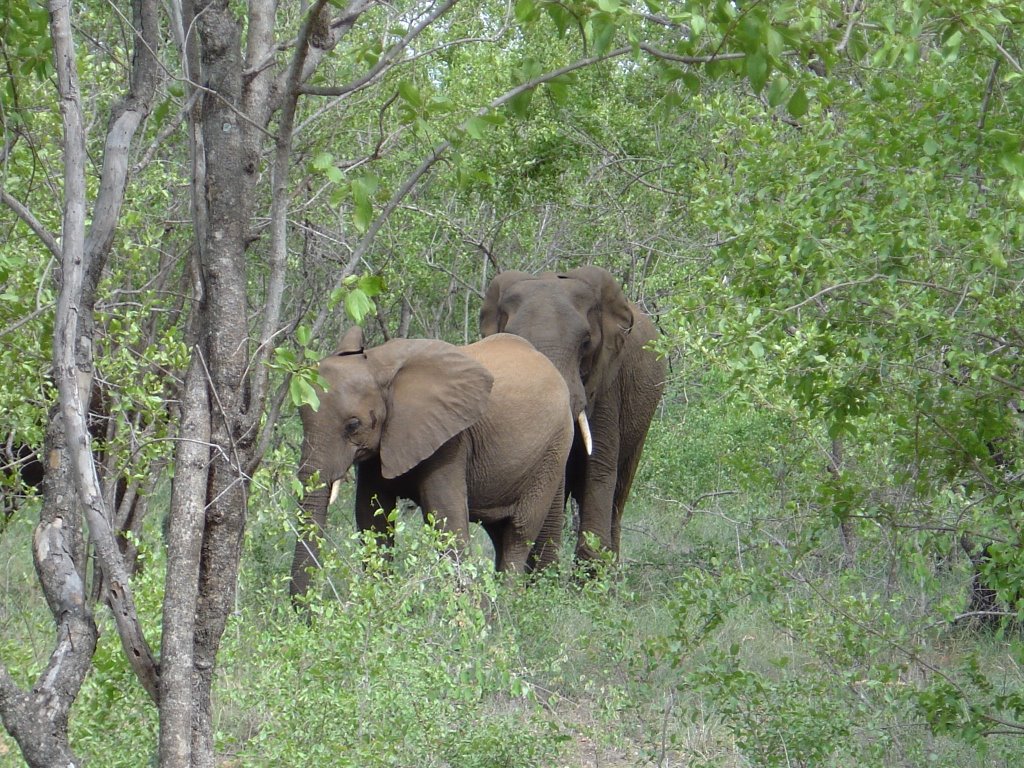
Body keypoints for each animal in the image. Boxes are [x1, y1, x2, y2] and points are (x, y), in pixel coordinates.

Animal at [288, 325, 577, 602]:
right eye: (300, 416)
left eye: (353, 425)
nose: (305, 610)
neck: (379, 367)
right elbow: (372, 518)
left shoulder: (451, 441)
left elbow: (445, 518)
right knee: (500, 534)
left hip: (553, 450)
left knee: (519, 532)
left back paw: (504, 609)